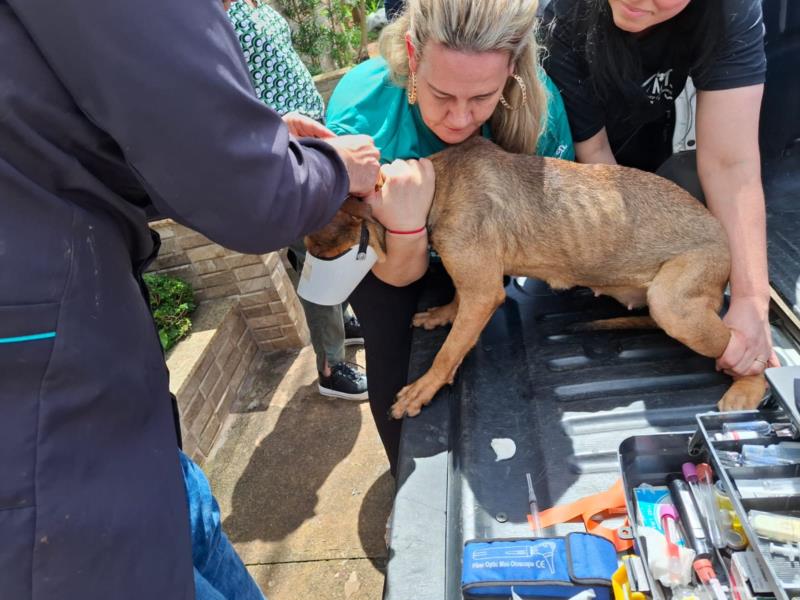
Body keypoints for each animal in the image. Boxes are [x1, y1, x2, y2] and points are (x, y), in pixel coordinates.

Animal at [304, 136, 764, 418]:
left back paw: (747, 386)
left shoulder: (484, 293)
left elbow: (447, 353)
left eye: (317, 235)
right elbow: (457, 300)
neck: (436, 184)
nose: (304, 255)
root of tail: (724, 237)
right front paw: (442, 314)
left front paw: (424, 388)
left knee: (750, 353)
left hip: (674, 307)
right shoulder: (476, 280)